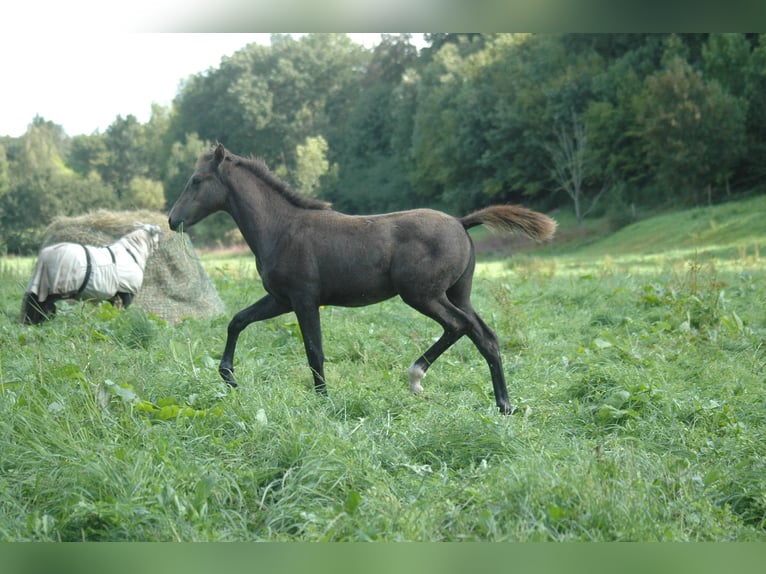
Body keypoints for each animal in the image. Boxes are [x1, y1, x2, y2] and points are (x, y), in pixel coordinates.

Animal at [20, 223, 163, 324]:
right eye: (157, 233)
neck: (133, 252)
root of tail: (44, 258)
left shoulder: (112, 295)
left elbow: (111, 310)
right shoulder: (127, 292)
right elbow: (123, 311)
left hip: (43, 284)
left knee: (34, 302)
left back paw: (31, 322)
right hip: (54, 286)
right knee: (43, 305)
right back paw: (42, 321)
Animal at [168, 144, 556, 414]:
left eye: (196, 181)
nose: (173, 220)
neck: (281, 228)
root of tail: (461, 222)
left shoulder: (304, 300)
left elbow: (314, 351)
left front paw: (323, 400)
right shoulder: (280, 300)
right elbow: (237, 321)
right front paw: (229, 376)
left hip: (422, 295)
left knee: (458, 326)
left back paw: (416, 378)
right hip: (457, 294)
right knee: (485, 336)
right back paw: (504, 405)